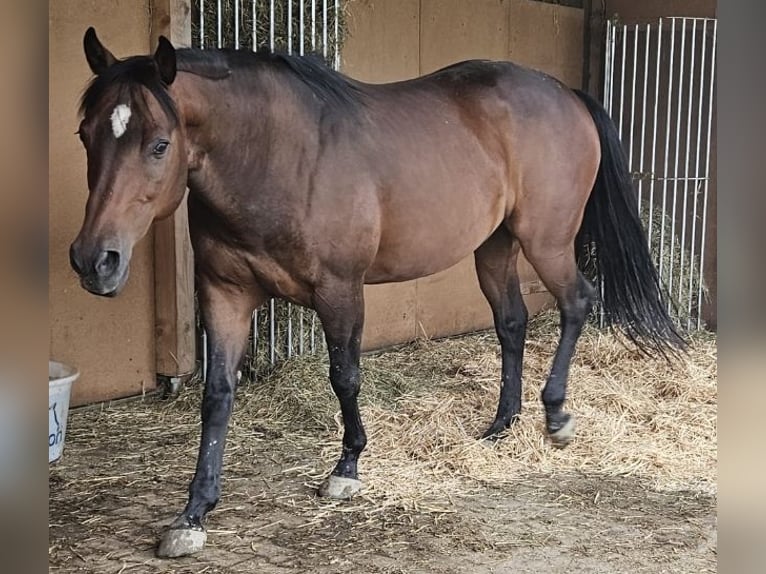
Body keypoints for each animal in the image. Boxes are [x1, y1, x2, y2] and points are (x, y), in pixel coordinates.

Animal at [69, 28, 685, 557]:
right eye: (85, 135)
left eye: (159, 144)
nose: (94, 261)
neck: (277, 156)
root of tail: (566, 94)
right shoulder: (225, 293)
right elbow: (217, 395)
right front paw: (194, 513)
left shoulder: (340, 290)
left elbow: (344, 376)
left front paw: (346, 470)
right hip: (495, 246)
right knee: (512, 323)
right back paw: (501, 425)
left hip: (547, 240)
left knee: (577, 302)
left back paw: (555, 416)